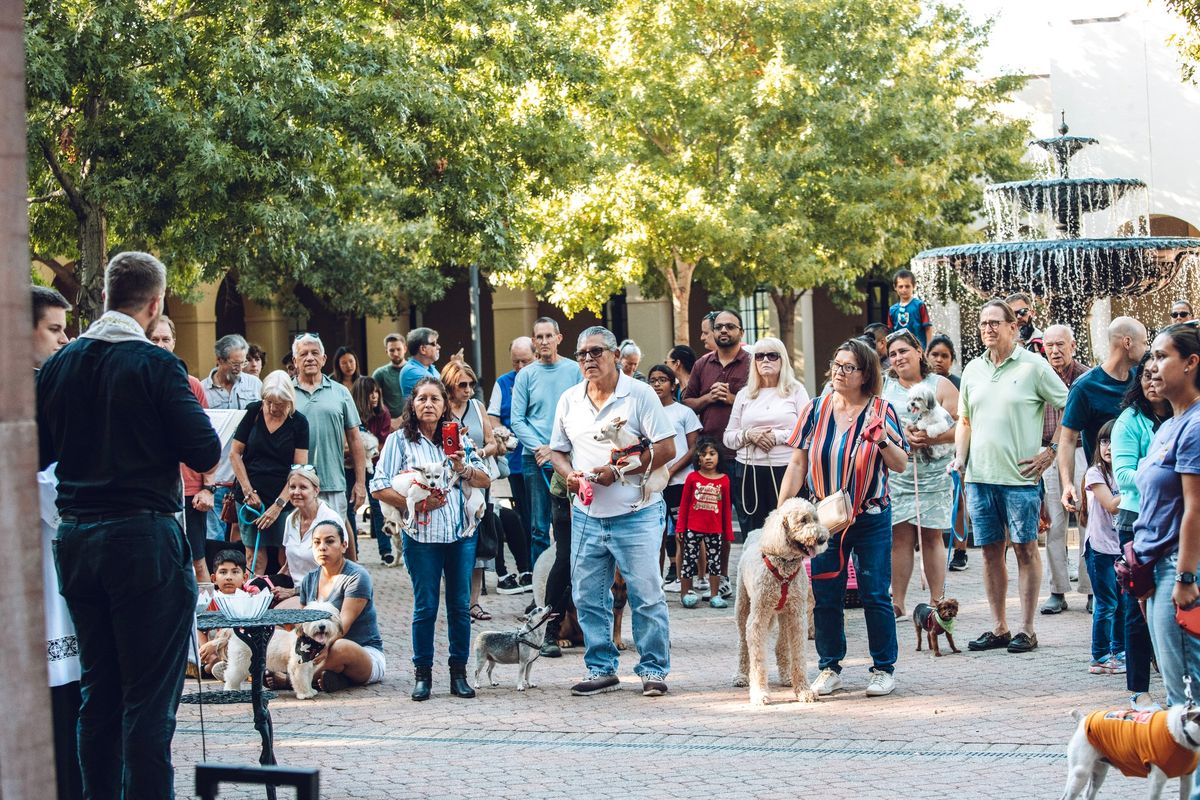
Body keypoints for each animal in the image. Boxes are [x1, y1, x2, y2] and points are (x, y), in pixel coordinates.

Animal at [729, 501, 825, 705]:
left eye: (815, 519)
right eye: (803, 520)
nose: (822, 539)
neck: (784, 566)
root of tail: (755, 533)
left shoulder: (797, 617)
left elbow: (799, 656)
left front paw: (803, 690)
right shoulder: (757, 619)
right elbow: (757, 659)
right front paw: (759, 693)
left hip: (783, 616)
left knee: (781, 646)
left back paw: (787, 677)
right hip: (743, 607)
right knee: (743, 644)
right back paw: (741, 676)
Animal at [1060, 705, 1200, 800]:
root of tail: (1083, 719)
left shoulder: (1187, 777)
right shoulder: (1157, 780)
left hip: (1099, 772)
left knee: (1089, 793)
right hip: (1080, 773)